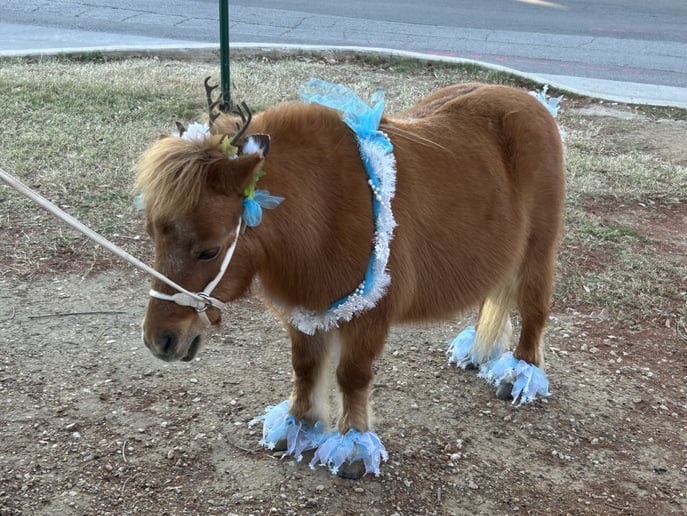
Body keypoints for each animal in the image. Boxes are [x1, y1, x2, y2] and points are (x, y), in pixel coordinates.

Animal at [134, 77, 565, 478]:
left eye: (209, 250)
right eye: (152, 233)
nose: (160, 341)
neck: (324, 205)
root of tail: (532, 101)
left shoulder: (369, 316)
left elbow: (352, 376)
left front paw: (353, 448)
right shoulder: (305, 311)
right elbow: (305, 368)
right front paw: (299, 427)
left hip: (538, 254)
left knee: (534, 311)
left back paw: (520, 373)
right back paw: (478, 352)